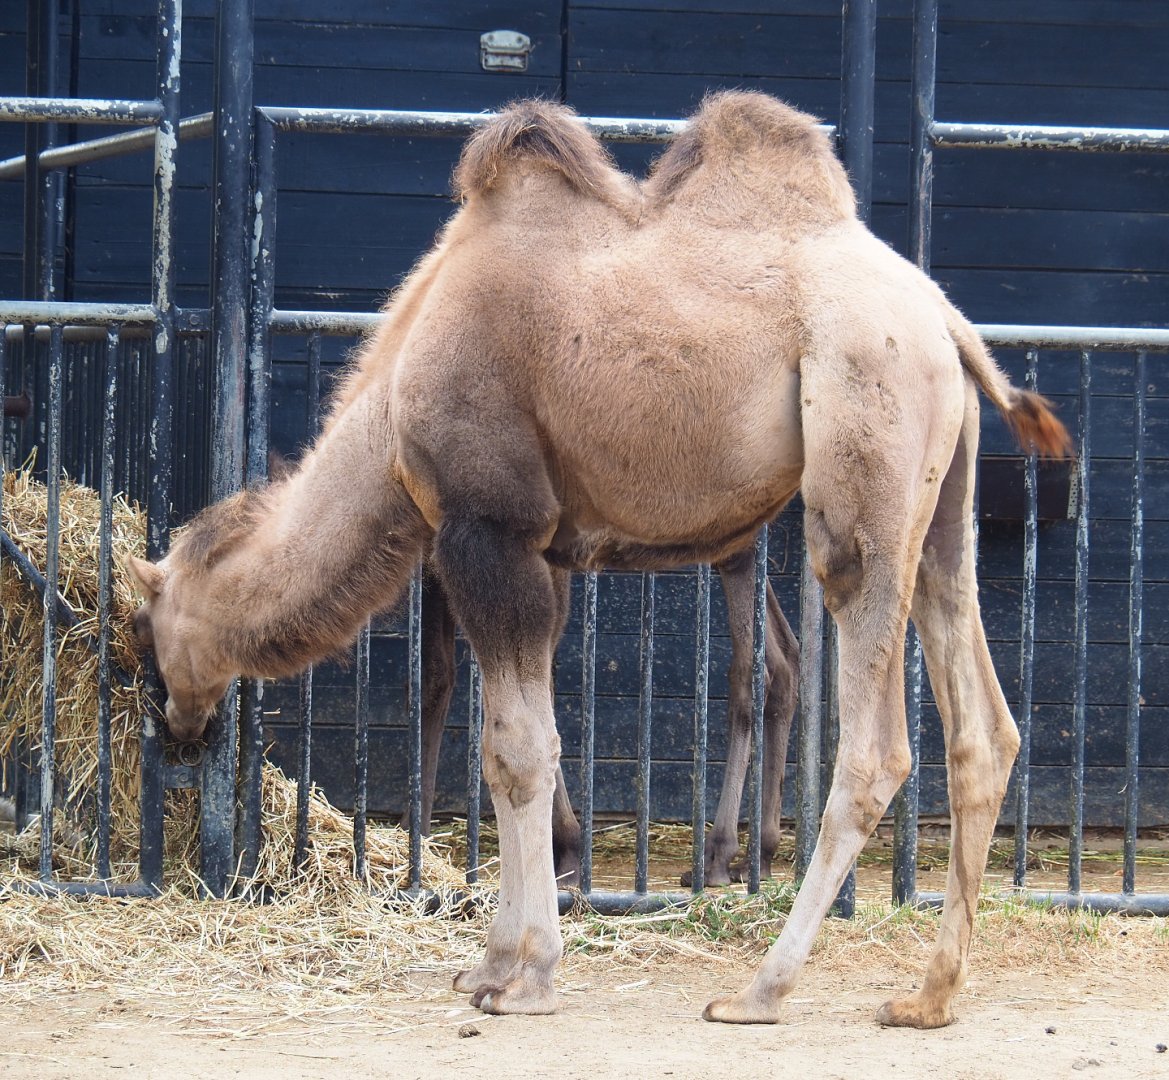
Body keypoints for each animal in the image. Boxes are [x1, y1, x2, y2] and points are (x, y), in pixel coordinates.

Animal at [128, 92, 1070, 1026]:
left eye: (145, 631)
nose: (176, 724)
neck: (390, 420)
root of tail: (945, 323)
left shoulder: (489, 529)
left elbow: (518, 752)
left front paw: (526, 976)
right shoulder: (542, 551)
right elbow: (510, 747)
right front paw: (489, 963)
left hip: (861, 456)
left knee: (872, 742)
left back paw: (760, 987)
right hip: (940, 504)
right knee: (982, 722)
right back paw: (928, 995)